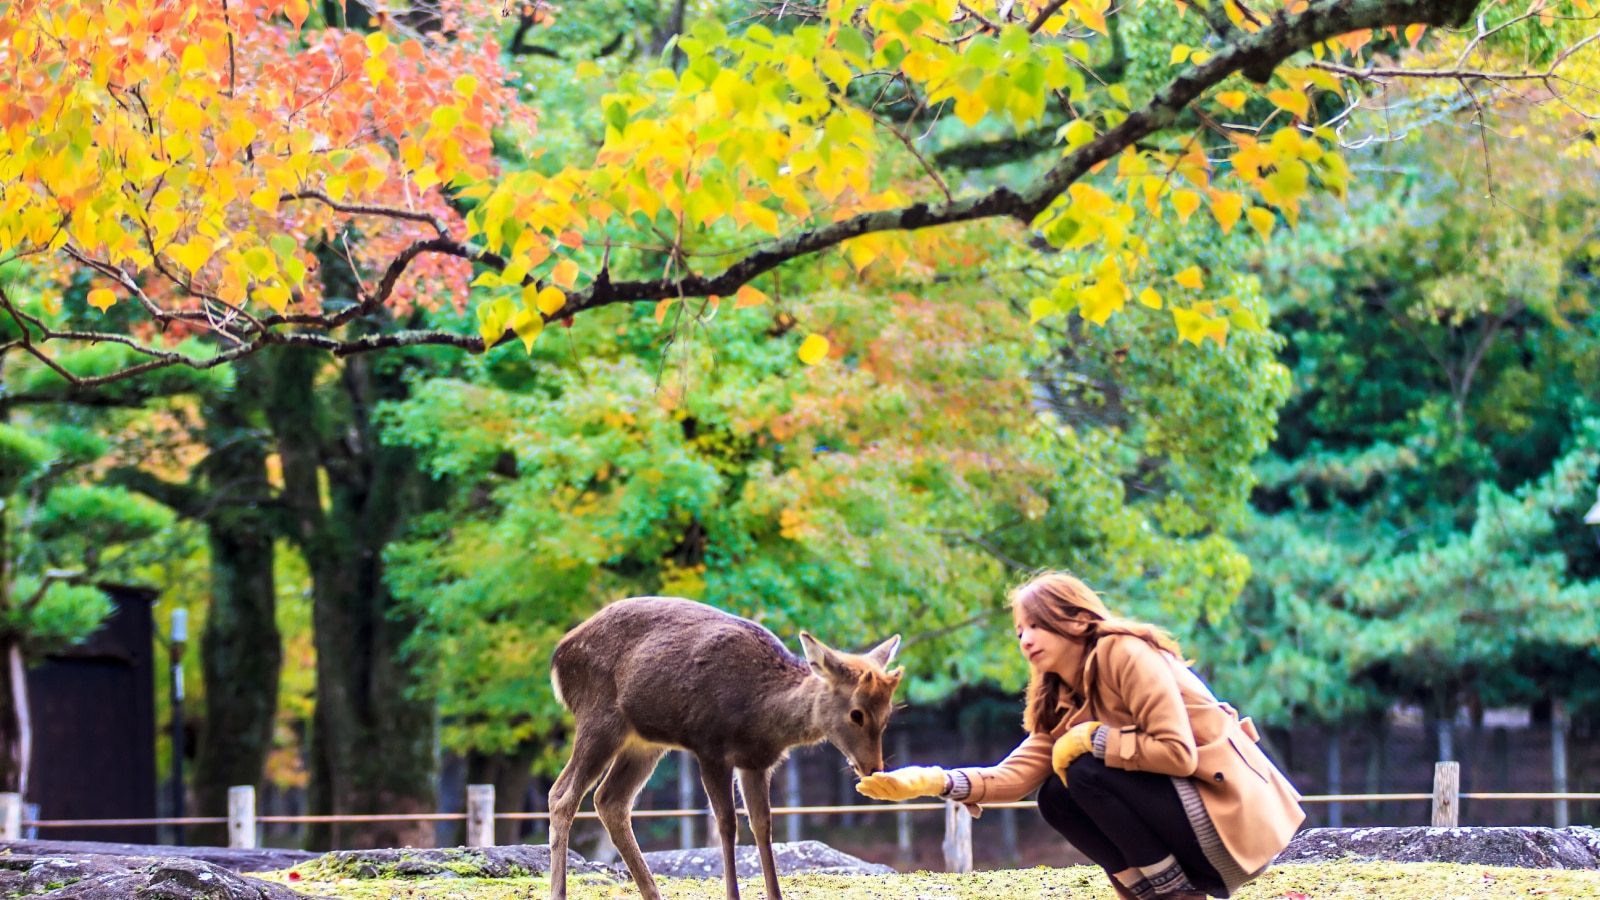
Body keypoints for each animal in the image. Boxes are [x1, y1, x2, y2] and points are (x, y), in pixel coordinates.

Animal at [547, 595, 902, 896]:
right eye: (856, 713)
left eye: (888, 714)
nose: (873, 767)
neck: (761, 714)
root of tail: (558, 657)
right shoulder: (710, 746)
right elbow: (727, 823)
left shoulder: (756, 762)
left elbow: (762, 824)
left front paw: (775, 894)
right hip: (598, 718)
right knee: (562, 795)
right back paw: (559, 892)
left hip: (644, 742)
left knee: (609, 800)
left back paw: (653, 893)